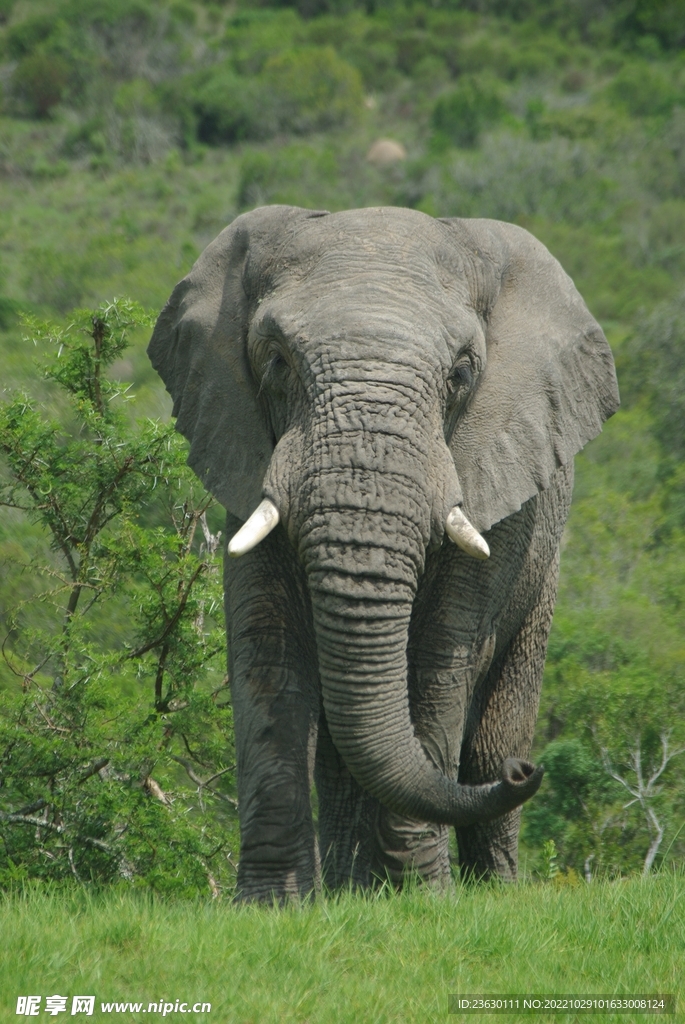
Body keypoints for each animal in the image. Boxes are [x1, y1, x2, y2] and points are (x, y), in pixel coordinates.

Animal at [148, 205, 619, 902]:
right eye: (276, 361)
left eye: (461, 374)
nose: (526, 772)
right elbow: (268, 653)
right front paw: (274, 906)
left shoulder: (496, 491)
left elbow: (437, 660)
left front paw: (423, 898)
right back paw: (355, 890)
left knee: (490, 735)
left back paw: (490, 887)